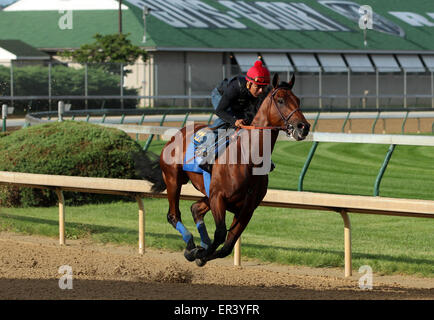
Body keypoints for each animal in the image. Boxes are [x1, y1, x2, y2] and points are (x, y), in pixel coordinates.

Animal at [151, 74, 310, 266]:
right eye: (280, 100)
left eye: (298, 100)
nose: (303, 127)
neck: (249, 159)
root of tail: (177, 133)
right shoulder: (219, 198)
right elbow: (220, 234)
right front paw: (199, 253)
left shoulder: (246, 209)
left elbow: (227, 245)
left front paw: (202, 253)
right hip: (173, 180)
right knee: (173, 215)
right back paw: (190, 245)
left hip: (207, 193)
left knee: (196, 208)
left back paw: (197, 245)